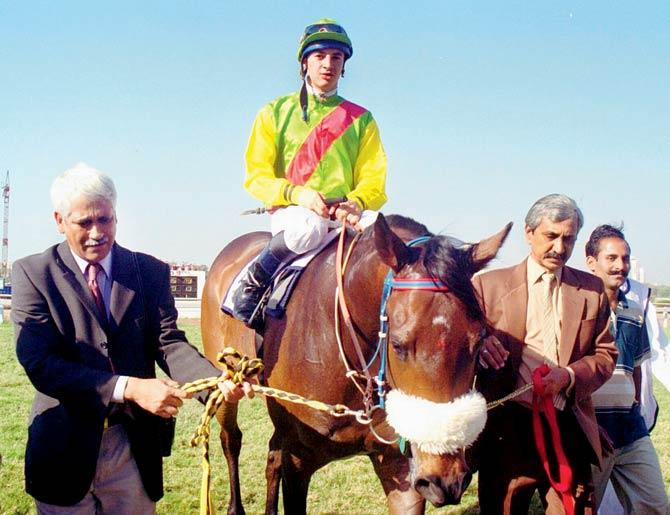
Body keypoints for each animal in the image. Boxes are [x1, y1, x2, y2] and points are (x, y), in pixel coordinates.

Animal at [202, 212, 512, 512]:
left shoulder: (400, 467)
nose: (445, 480)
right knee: (231, 439)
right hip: (226, 383)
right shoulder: (298, 461)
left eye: (479, 341)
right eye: (397, 344)